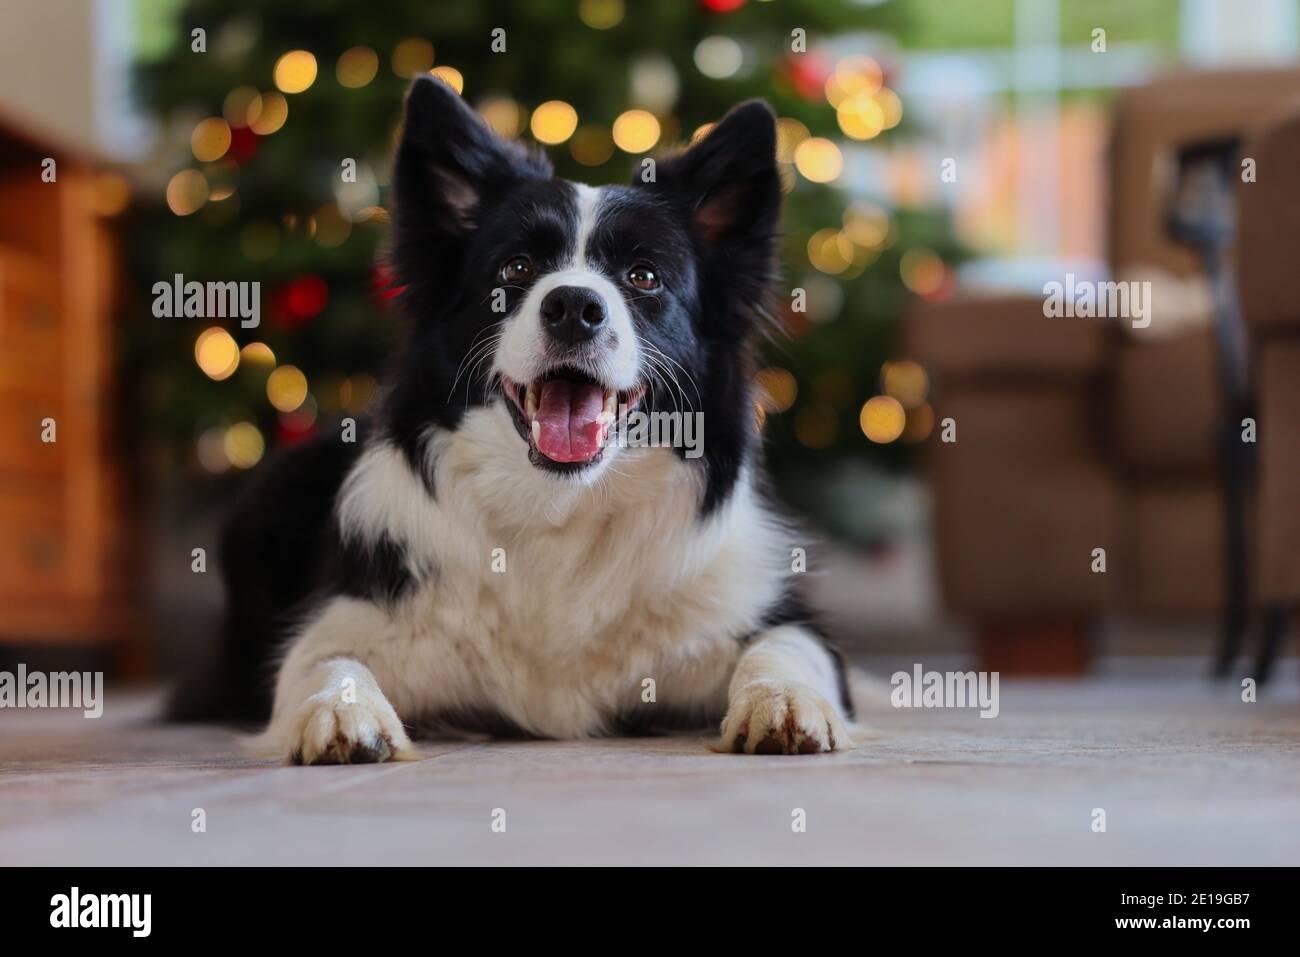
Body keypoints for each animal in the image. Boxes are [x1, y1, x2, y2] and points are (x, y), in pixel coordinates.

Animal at [185, 76, 852, 764]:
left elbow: (786, 650)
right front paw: (343, 716)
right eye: (516, 269)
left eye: (644, 276)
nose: (574, 307)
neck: (559, 510)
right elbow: (324, 662)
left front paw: (782, 702)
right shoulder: (344, 620)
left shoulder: (770, 618)